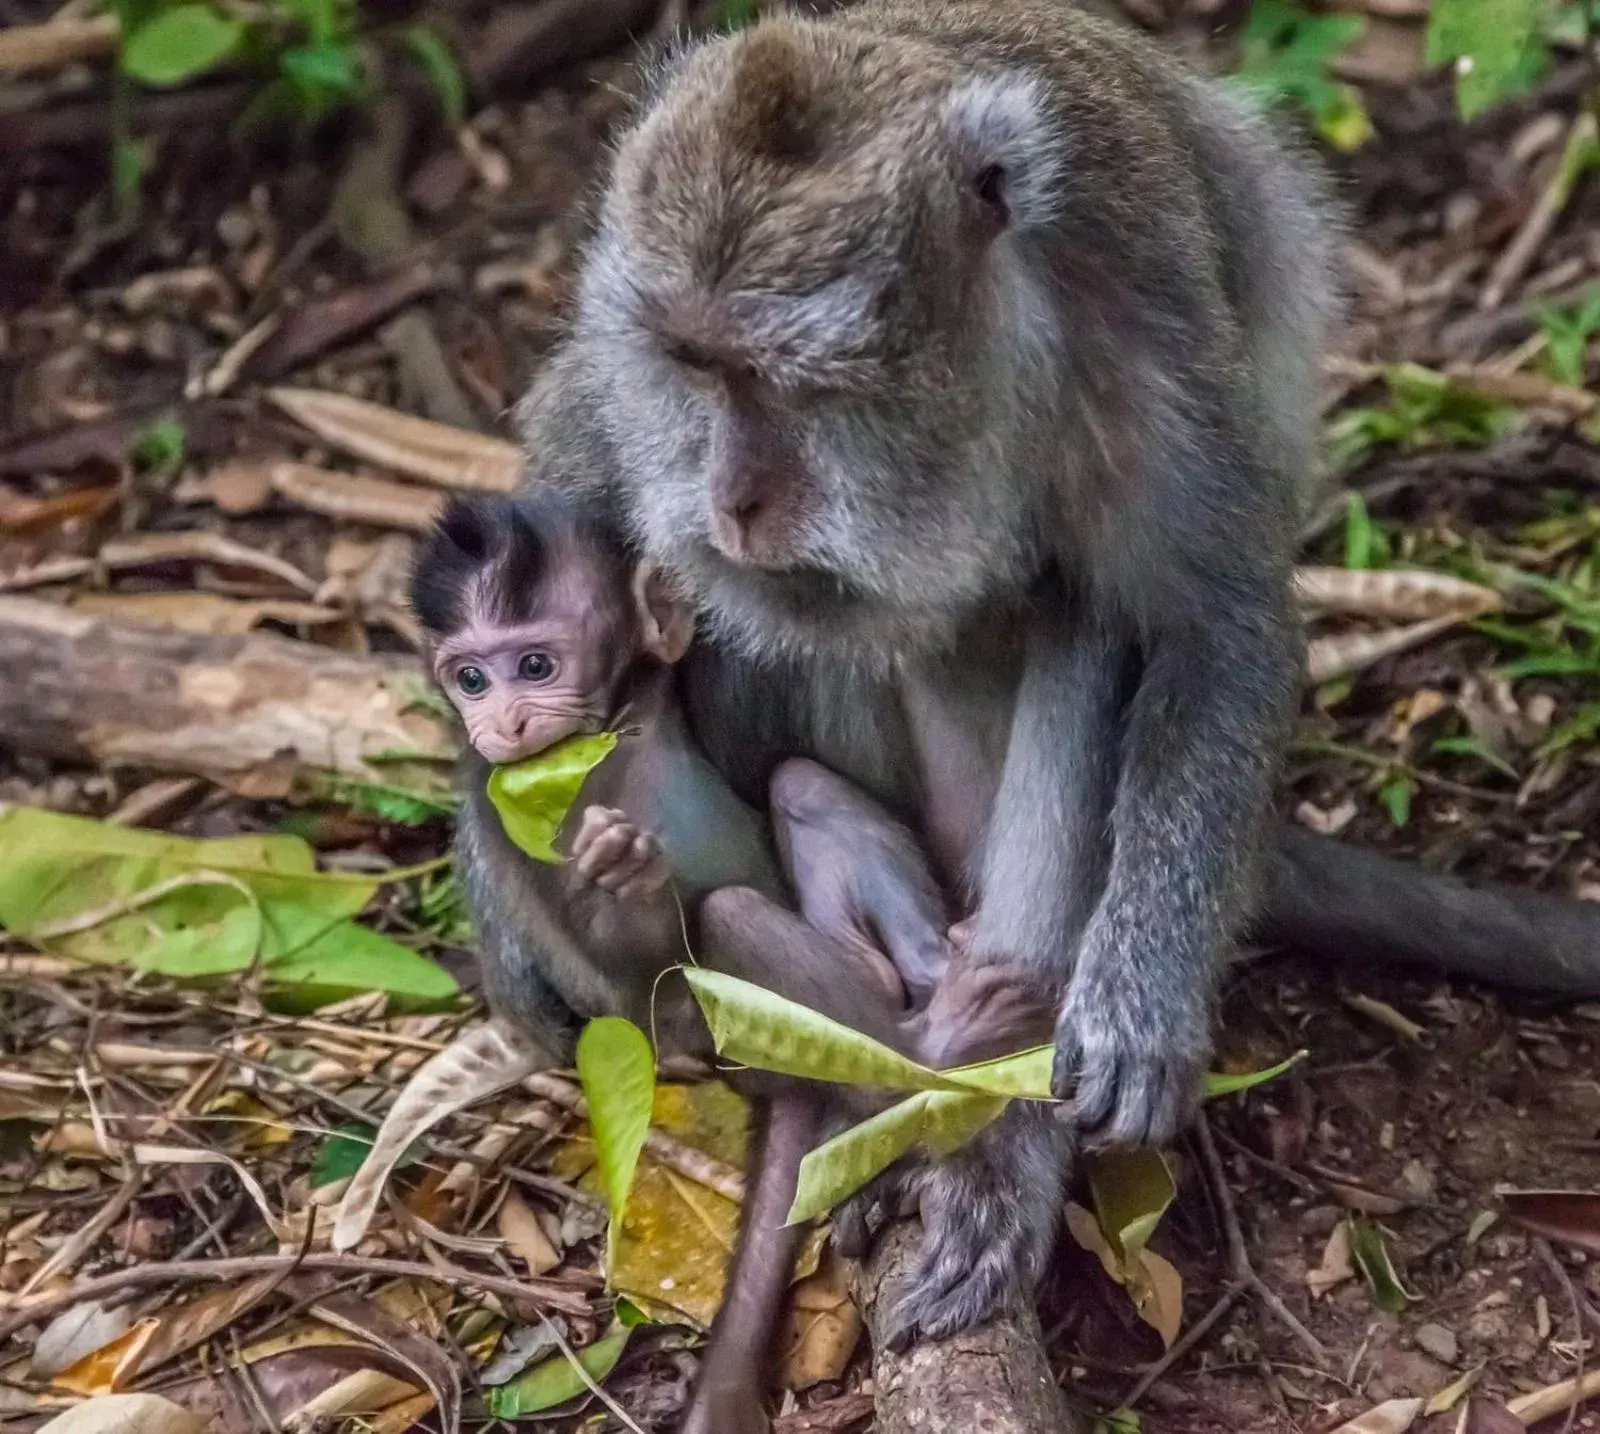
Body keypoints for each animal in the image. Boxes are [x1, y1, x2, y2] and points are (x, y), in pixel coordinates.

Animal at [409, 492, 1049, 1434]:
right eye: (469, 680)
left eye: (532, 664)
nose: (502, 721)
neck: (612, 740)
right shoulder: (504, 808)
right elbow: (619, 953)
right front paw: (621, 874)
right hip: (719, 1045)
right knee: (727, 918)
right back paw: (942, 1043)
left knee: (799, 786)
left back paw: (936, 973)